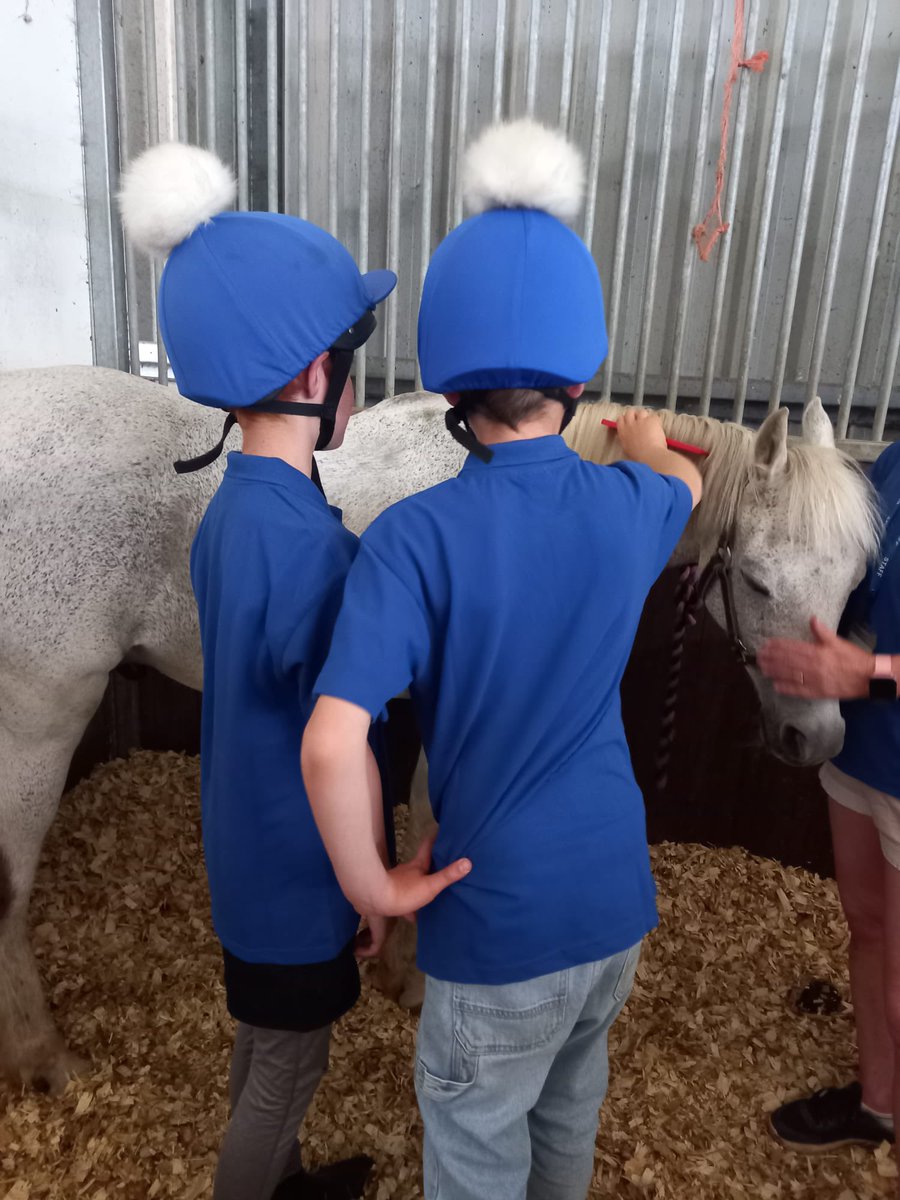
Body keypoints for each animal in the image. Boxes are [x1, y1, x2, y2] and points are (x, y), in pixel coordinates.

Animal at [0, 364, 880, 1091]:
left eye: (851, 581)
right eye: (758, 581)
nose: (817, 737)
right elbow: (431, 815)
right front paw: (416, 975)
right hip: (39, 729)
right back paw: (42, 1055)